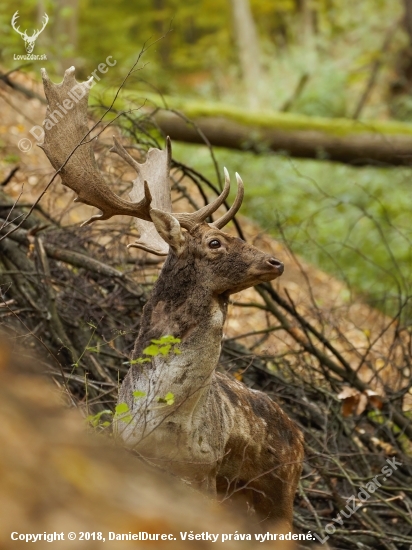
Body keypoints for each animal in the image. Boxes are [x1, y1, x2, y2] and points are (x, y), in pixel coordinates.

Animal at [40, 67, 304, 528]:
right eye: (215, 242)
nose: (275, 262)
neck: (164, 421)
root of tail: (303, 437)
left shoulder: (204, 471)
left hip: (279, 495)